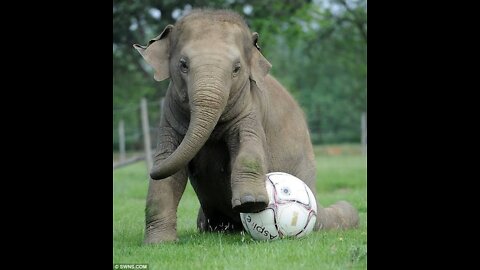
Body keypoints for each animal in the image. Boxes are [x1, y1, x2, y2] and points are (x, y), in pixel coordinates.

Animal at [133, 8, 358, 245]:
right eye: (183, 64)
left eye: (236, 68)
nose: (150, 170)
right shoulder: (169, 114)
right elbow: (168, 169)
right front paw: (158, 244)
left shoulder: (251, 108)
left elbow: (249, 148)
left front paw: (252, 203)